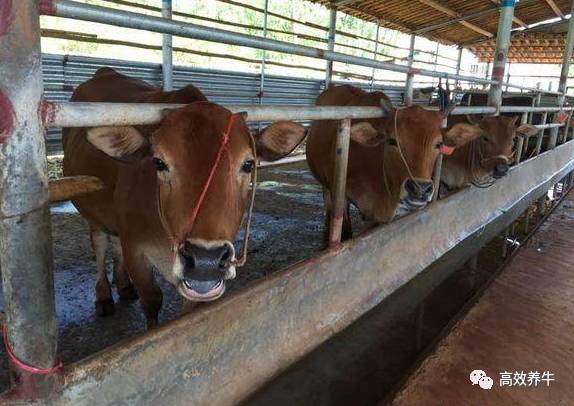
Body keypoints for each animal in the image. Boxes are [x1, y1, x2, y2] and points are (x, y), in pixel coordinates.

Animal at [63, 67, 308, 326]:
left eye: (248, 164)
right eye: (159, 162)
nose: (205, 260)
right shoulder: (135, 250)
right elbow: (151, 300)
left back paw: (124, 286)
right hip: (92, 213)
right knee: (100, 244)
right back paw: (103, 295)